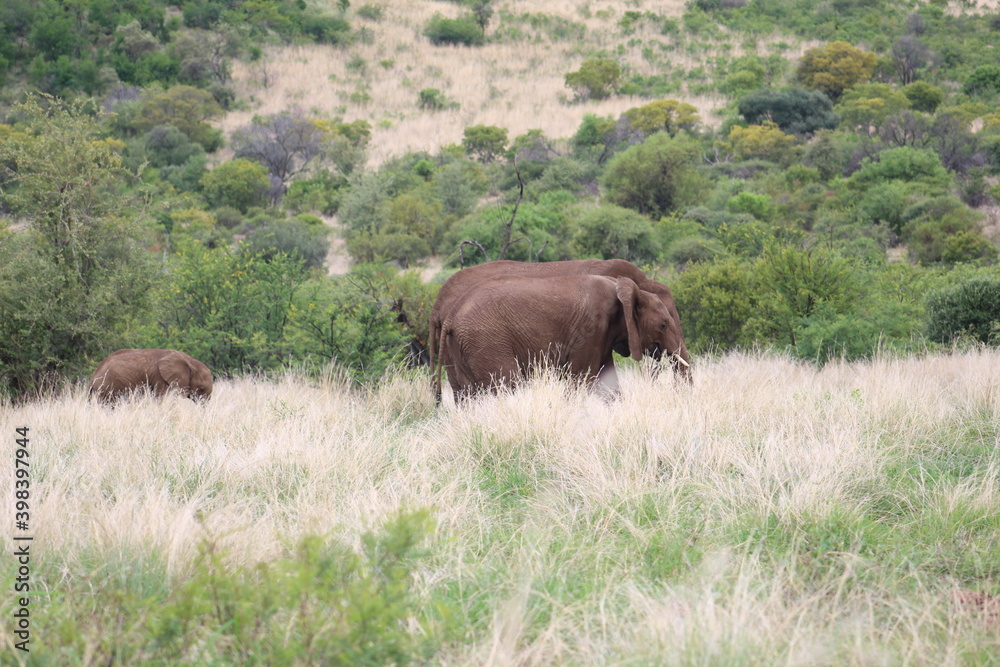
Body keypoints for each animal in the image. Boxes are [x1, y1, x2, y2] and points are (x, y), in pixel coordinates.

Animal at [430, 258, 688, 400]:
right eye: (663, 324)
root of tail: (441, 308)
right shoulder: (589, 329)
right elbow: (580, 379)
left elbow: (608, 383)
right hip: (486, 340)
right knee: (507, 384)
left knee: (466, 393)